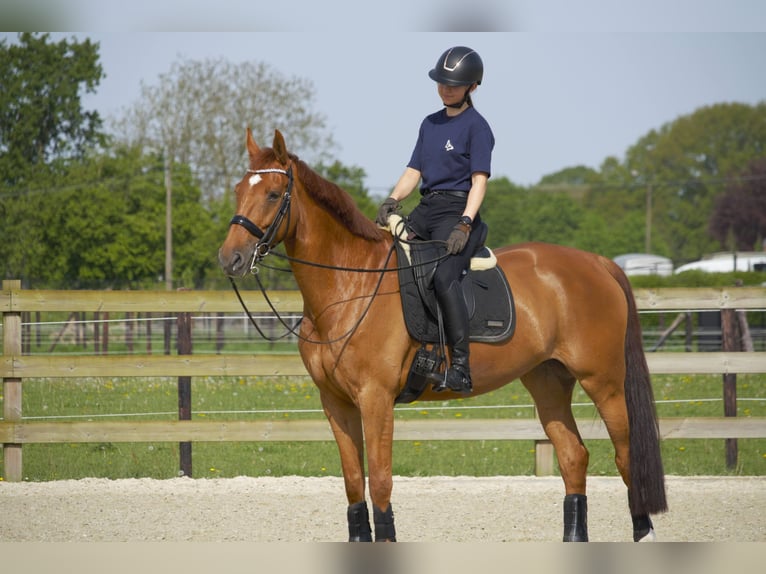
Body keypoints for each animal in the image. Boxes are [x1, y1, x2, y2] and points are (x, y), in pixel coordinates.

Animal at [219, 128, 668, 544]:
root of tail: (595, 262)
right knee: (574, 457)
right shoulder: (335, 402)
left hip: (604, 383)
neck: (350, 286)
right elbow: (352, 482)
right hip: (547, 381)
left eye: (273, 194)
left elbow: (380, 481)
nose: (230, 259)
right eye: (239, 190)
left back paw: (644, 532)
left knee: (626, 458)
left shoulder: (376, 399)